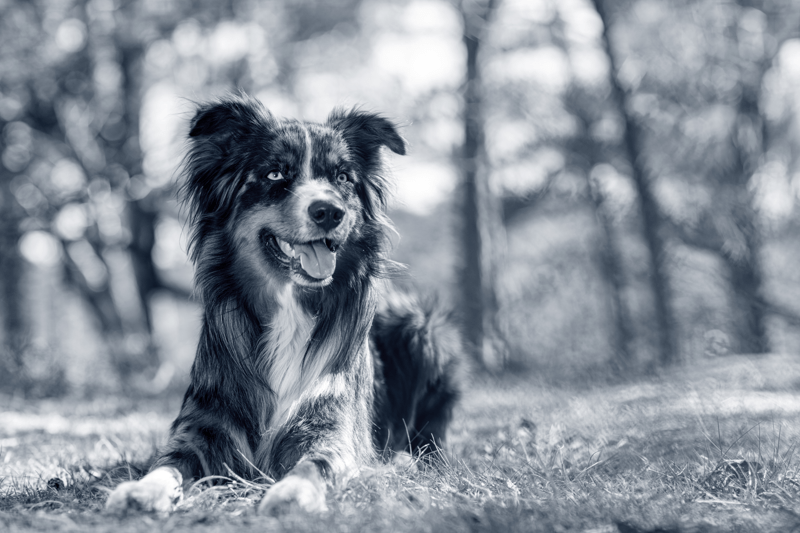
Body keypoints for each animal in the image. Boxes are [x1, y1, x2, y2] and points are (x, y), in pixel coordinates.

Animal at [103, 93, 460, 512]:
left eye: (343, 178)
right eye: (275, 174)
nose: (329, 212)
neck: (290, 309)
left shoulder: (332, 431)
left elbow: (314, 464)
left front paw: (292, 492)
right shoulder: (203, 427)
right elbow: (167, 464)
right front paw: (142, 489)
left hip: (420, 325)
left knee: (428, 442)